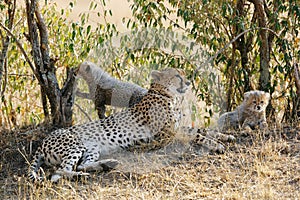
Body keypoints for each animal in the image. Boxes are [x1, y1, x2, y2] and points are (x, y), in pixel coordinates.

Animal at [28, 68, 234, 182]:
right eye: (177, 75)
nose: (189, 82)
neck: (166, 95)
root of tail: (44, 141)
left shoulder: (176, 128)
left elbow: (202, 129)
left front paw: (225, 136)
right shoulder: (166, 135)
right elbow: (197, 134)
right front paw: (217, 145)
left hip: (92, 148)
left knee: (79, 166)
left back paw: (106, 164)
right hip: (74, 145)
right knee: (59, 172)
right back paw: (83, 176)